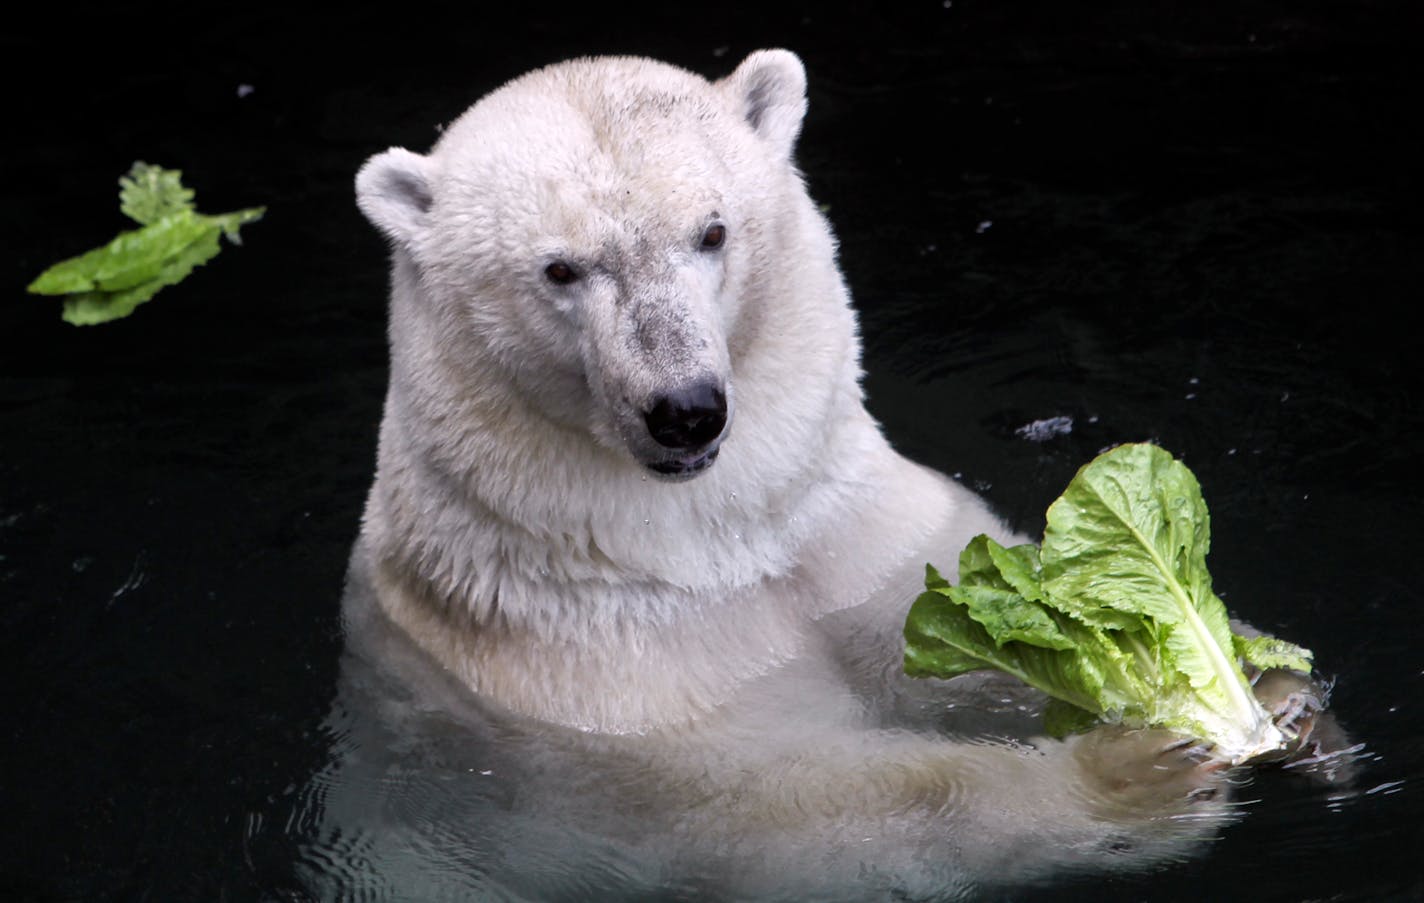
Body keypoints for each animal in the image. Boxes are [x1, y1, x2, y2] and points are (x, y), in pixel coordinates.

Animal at [314, 50, 1332, 900]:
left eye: (712, 231)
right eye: (560, 268)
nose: (685, 407)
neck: (704, 538)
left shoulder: (837, 521)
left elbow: (930, 622)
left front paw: (1271, 683)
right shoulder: (590, 678)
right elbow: (801, 803)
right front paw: (1138, 766)